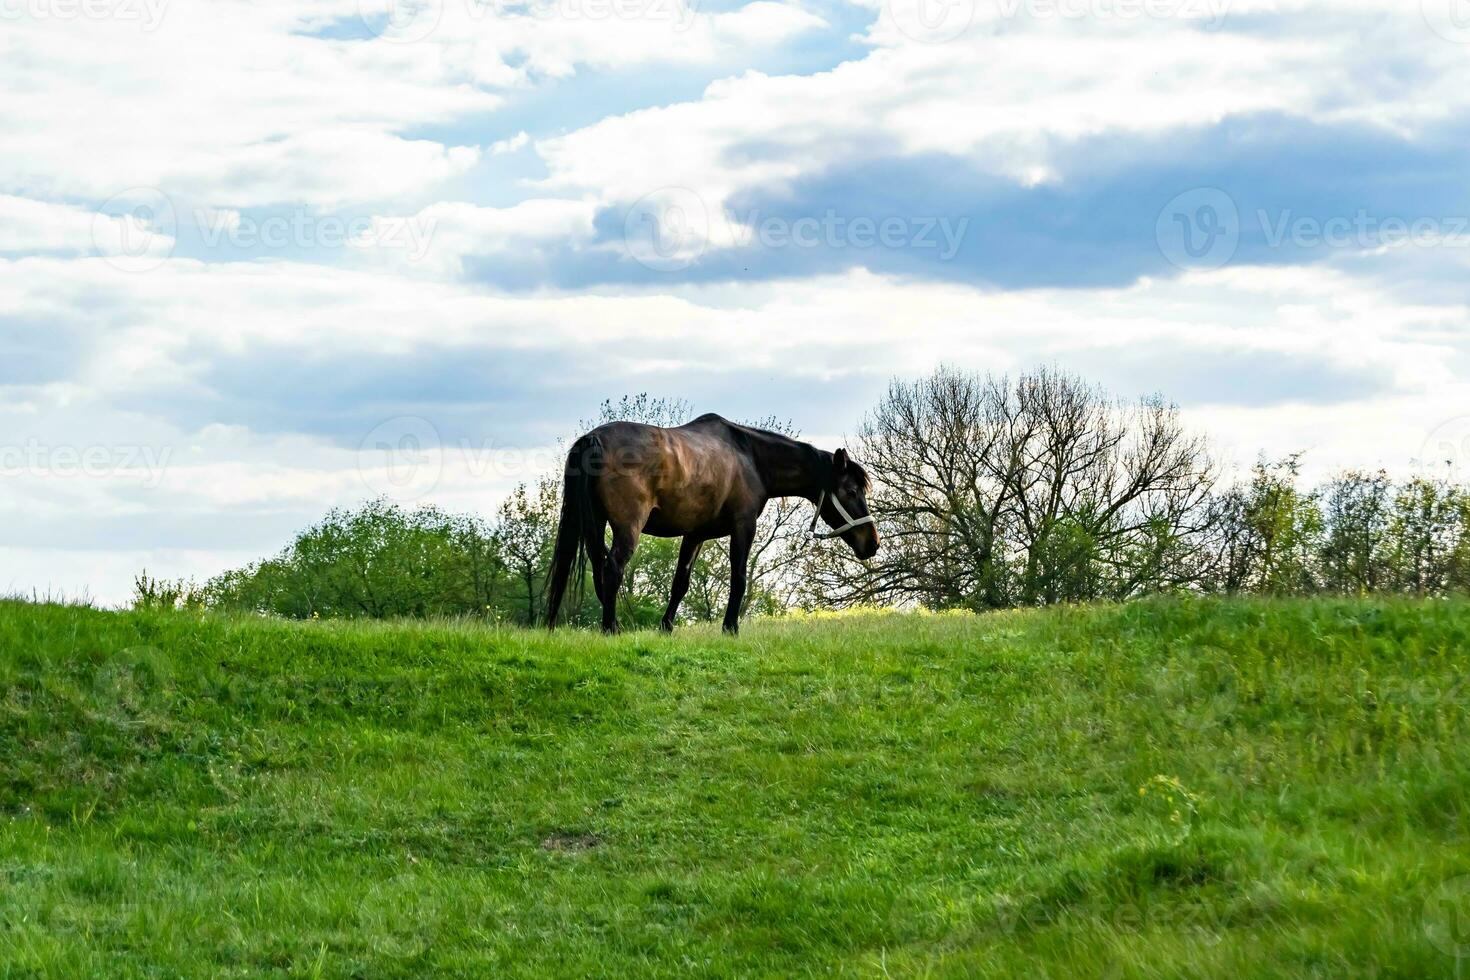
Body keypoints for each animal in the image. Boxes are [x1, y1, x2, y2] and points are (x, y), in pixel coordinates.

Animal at [546, 414, 876, 637]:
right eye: (851, 491)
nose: (872, 543)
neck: (749, 456)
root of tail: (594, 440)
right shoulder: (743, 527)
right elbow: (739, 578)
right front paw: (730, 628)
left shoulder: (695, 535)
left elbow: (680, 582)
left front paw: (666, 627)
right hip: (628, 528)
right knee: (613, 568)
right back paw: (611, 628)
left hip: (591, 523)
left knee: (593, 568)